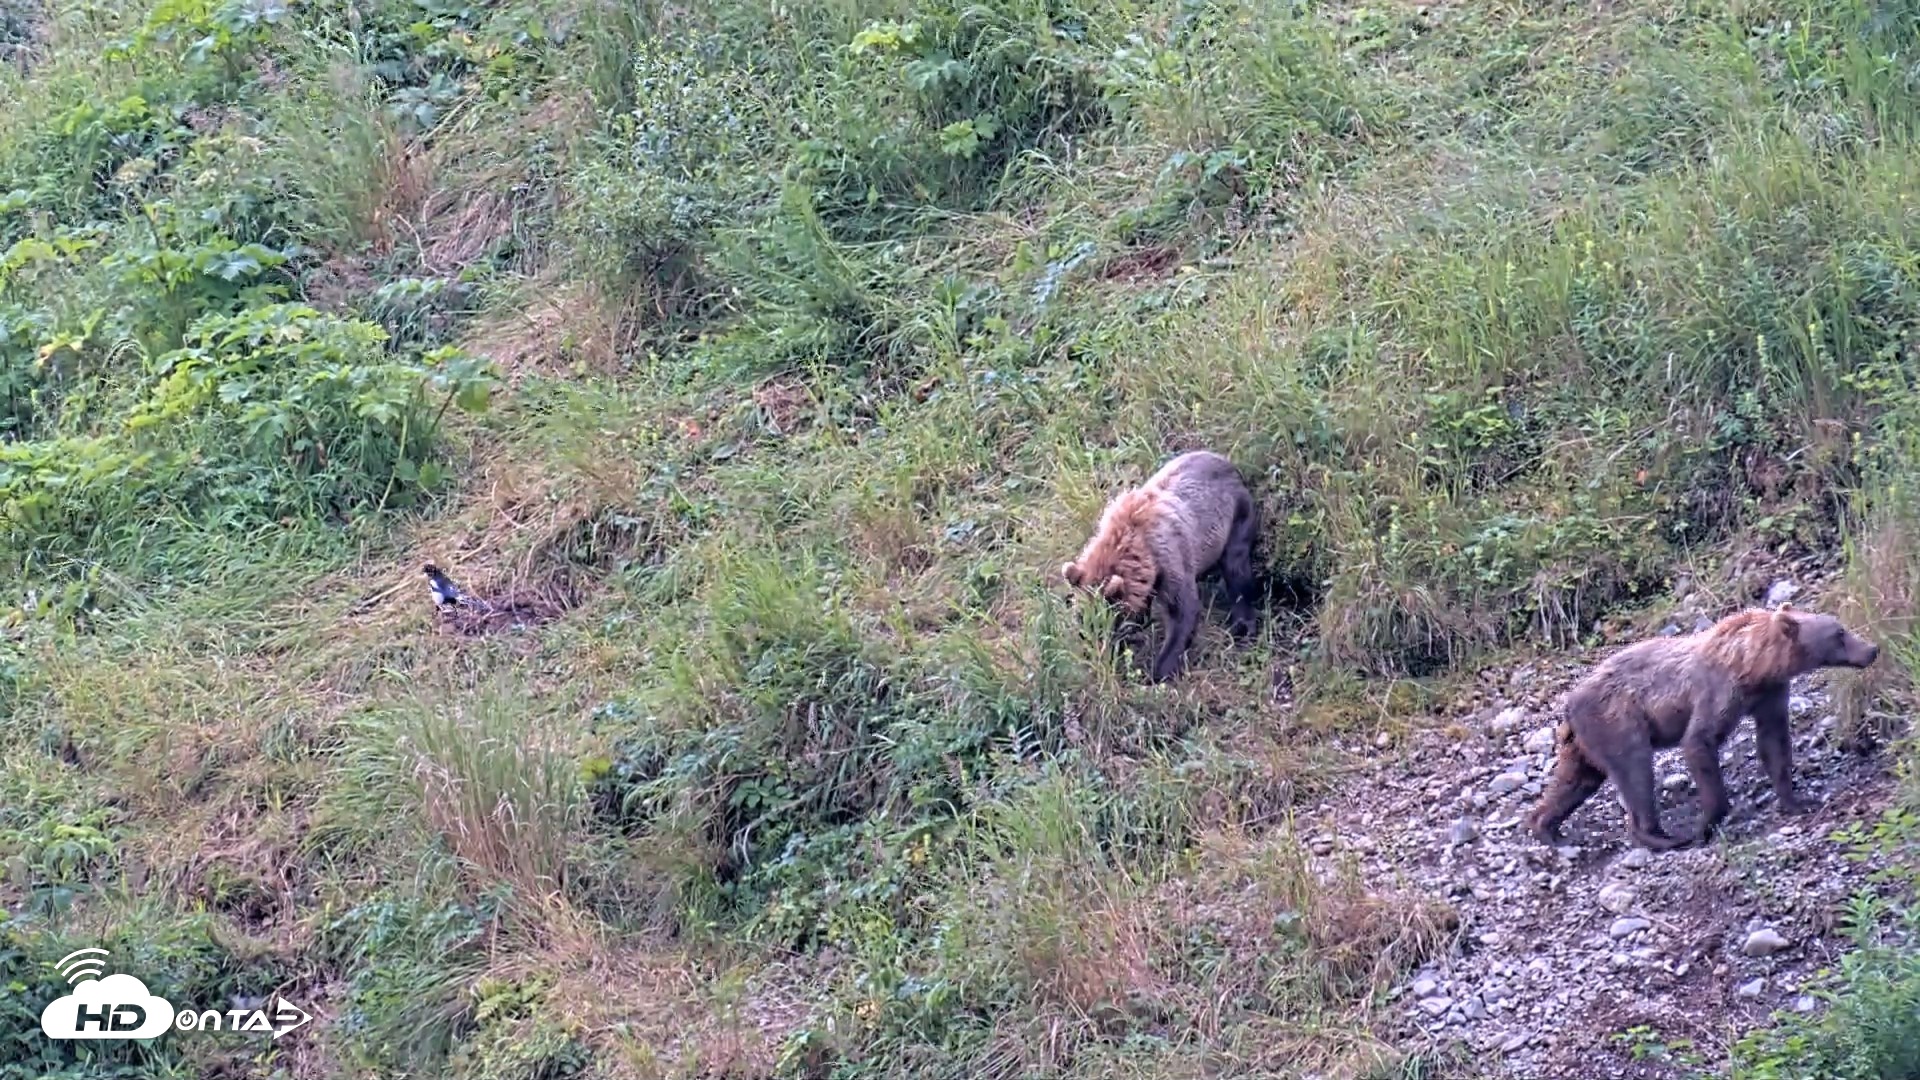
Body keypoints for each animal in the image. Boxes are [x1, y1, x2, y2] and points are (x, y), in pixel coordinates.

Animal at [1060, 449, 1259, 683]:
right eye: (1082, 621)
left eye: (1102, 624)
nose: (1091, 651)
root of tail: (1228, 463)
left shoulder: (1171, 558)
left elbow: (1182, 611)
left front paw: (1157, 672)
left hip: (1237, 516)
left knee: (1236, 567)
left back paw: (1243, 624)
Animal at [1526, 604, 1879, 852]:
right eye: (1839, 634)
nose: (1872, 649)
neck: (1753, 665)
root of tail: (1568, 704)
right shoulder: (1717, 691)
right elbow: (1699, 741)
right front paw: (1706, 824)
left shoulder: (1770, 694)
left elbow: (1774, 742)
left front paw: (1796, 799)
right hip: (1616, 720)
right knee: (1635, 770)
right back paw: (1661, 836)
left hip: (1584, 740)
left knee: (1576, 779)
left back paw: (1547, 827)